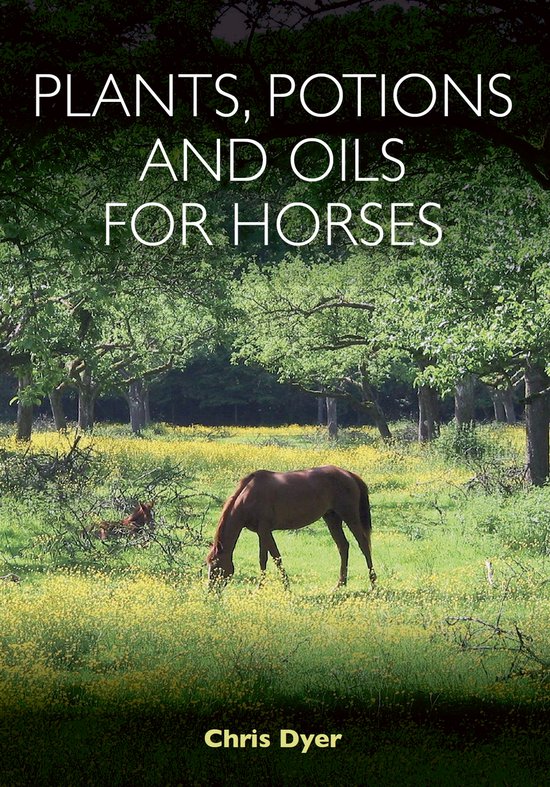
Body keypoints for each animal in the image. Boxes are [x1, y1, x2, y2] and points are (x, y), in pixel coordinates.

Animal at [206, 466, 376, 589]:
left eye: (215, 566)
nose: (211, 590)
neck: (247, 496)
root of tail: (349, 475)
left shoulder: (265, 530)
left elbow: (274, 558)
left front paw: (284, 587)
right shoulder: (261, 532)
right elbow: (264, 559)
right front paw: (261, 588)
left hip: (350, 517)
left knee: (364, 545)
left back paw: (373, 583)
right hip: (332, 518)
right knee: (343, 546)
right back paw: (340, 584)